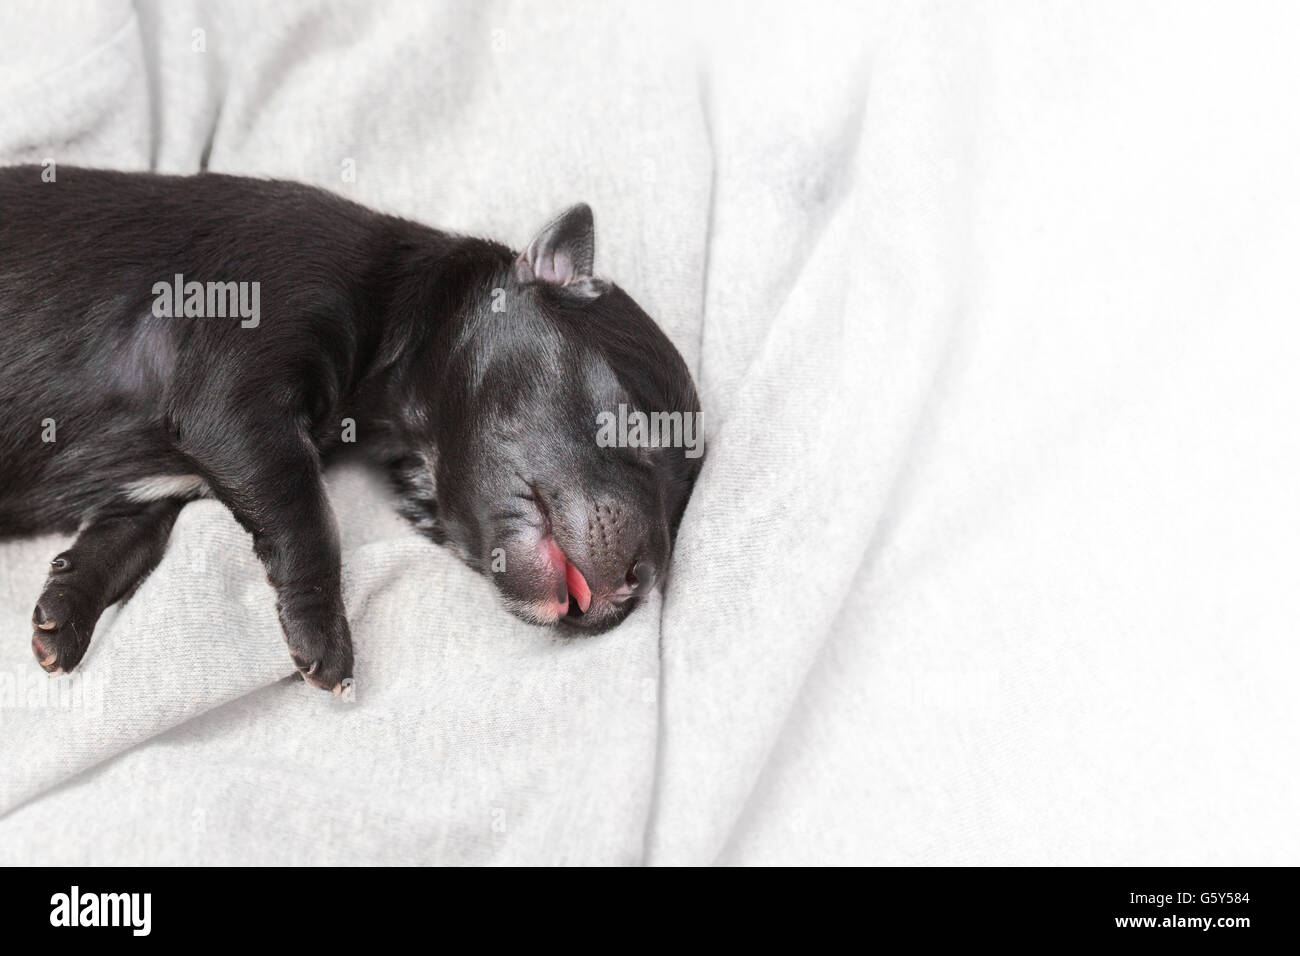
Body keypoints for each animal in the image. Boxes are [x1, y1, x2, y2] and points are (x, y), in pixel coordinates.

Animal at [0, 166, 707, 697]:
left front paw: (63, 618)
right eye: (629, 422)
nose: (644, 578)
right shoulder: (235, 397)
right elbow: (308, 514)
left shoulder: (155, 487)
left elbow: (121, 544)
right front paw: (324, 639)